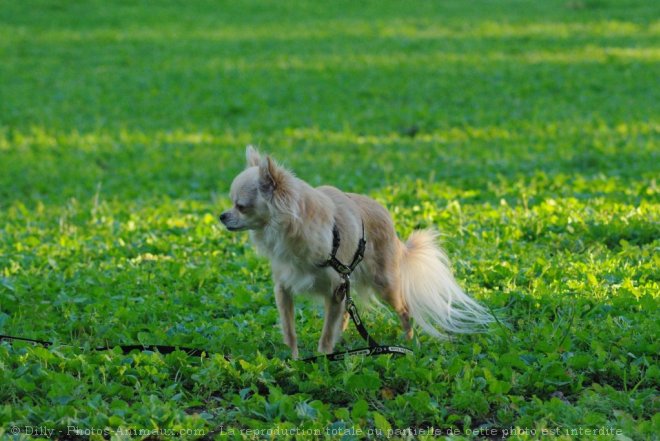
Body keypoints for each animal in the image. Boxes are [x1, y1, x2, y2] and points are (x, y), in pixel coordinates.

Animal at [219, 146, 492, 360]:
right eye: (231, 203)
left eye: (241, 206)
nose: (222, 216)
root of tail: (390, 223)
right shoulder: (284, 288)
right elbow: (290, 329)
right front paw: (295, 360)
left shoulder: (335, 289)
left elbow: (325, 334)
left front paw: (323, 359)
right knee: (346, 316)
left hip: (384, 284)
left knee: (404, 310)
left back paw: (410, 341)